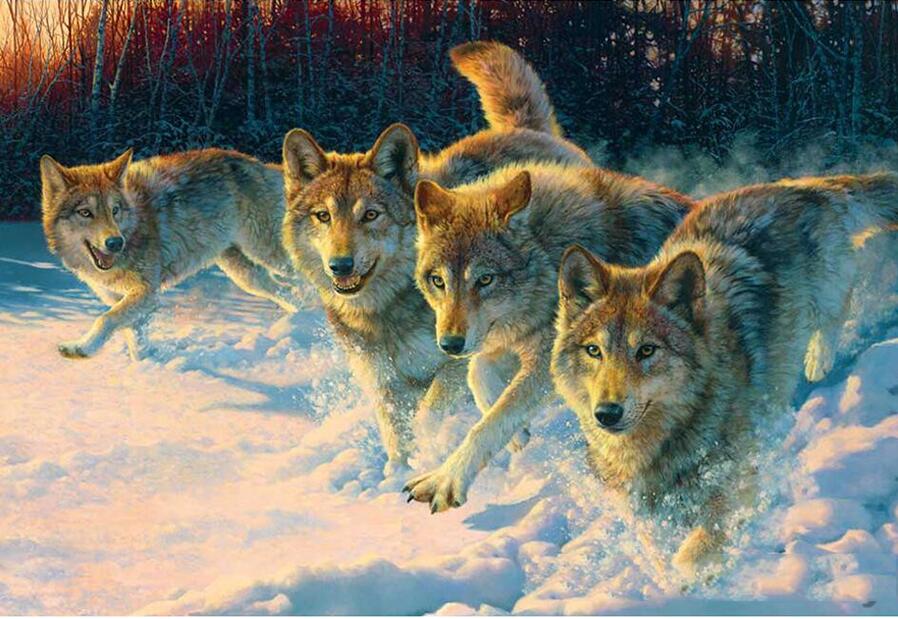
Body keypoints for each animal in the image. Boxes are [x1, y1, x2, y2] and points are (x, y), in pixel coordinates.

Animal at [40, 148, 302, 360]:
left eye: (115, 210)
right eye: (85, 213)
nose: (115, 243)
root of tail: (266, 166)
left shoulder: (147, 293)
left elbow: (106, 319)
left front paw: (81, 349)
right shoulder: (121, 298)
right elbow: (132, 334)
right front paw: (143, 368)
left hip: (270, 254)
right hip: (245, 276)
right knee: (288, 292)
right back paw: (301, 320)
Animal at [281, 41, 592, 476]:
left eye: (370, 215)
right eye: (323, 216)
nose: (340, 266)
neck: (386, 311)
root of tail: (525, 127)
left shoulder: (453, 364)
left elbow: (429, 414)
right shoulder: (386, 385)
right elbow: (397, 436)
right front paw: (397, 474)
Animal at [405, 163, 694, 512]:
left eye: (485, 279)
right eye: (438, 281)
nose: (450, 344)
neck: (550, 253)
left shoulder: (548, 358)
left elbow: (494, 419)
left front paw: (446, 480)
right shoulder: (519, 338)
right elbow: (479, 375)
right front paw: (518, 436)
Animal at [550, 173, 898, 574]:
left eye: (646, 350)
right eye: (594, 351)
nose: (606, 414)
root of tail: (796, 186)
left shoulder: (738, 482)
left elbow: (696, 550)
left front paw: (689, 577)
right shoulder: (642, 508)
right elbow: (656, 545)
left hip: (825, 294)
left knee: (836, 310)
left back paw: (817, 361)